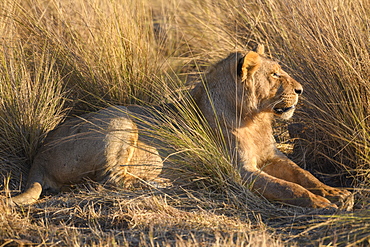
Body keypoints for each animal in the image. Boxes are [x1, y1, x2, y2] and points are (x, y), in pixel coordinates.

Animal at [10, 45, 352, 209]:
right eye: (275, 75)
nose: (301, 90)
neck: (253, 118)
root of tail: (38, 158)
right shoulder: (240, 172)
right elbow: (288, 187)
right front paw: (321, 203)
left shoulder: (272, 156)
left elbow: (303, 175)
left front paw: (336, 193)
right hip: (119, 120)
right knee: (108, 179)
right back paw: (163, 184)